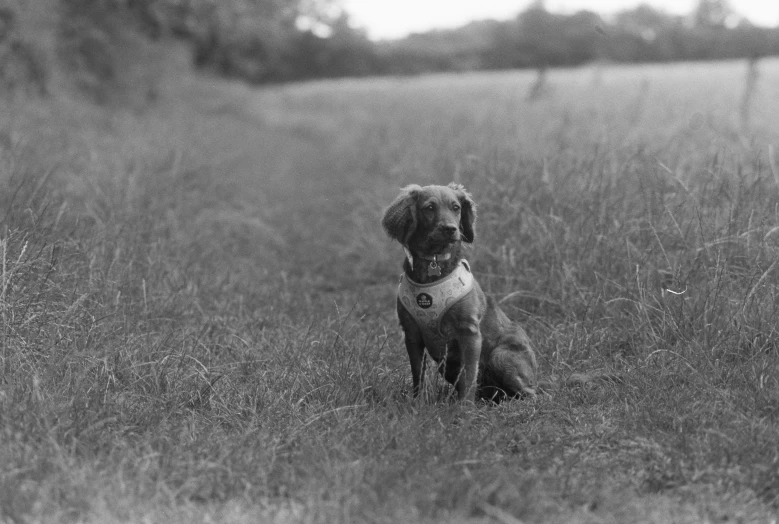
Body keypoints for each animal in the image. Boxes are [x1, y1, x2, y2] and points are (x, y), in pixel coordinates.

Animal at [380, 182, 540, 404]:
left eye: (456, 207)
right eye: (430, 208)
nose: (450, 229)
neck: (434, 265)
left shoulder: (469, 333)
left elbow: (469, 375)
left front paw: (464, 407)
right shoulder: (411, 334)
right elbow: (418, 374)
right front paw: (418, 402)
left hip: (500, 355)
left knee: (533, 395)